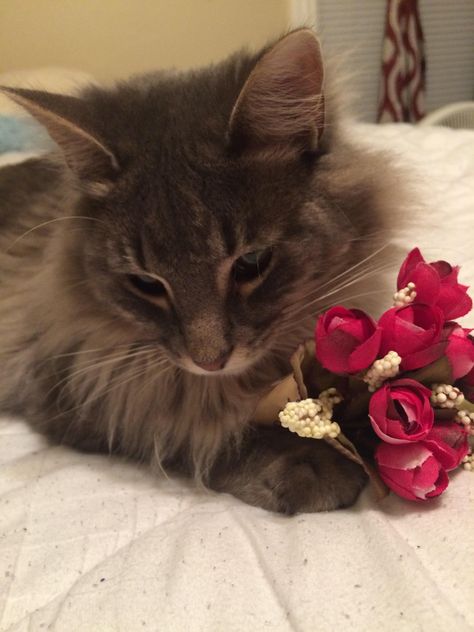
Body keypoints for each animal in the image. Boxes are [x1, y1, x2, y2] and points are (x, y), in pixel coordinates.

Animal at [0, 28, 400, 512]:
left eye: (251, 263)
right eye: (146, 283)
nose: (209, 361)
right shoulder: (86, 392)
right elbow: (198, 432)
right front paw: (308, 460)